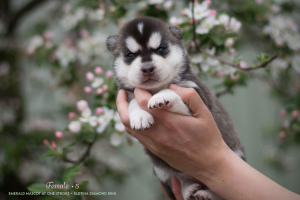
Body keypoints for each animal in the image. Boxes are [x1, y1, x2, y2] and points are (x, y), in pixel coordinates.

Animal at [106, 17, 245, 200]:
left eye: (161, 49)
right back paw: (189, 189)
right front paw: (140, 116)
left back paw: (207, 194)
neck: (154, 89)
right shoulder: (129, 93)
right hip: (162, 170)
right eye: (130, 55)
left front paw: (161, 97)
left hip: (235, 157)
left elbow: (173, 90)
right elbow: (134, 100)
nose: (147, 68)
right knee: (181, 178)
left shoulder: (196, 95)